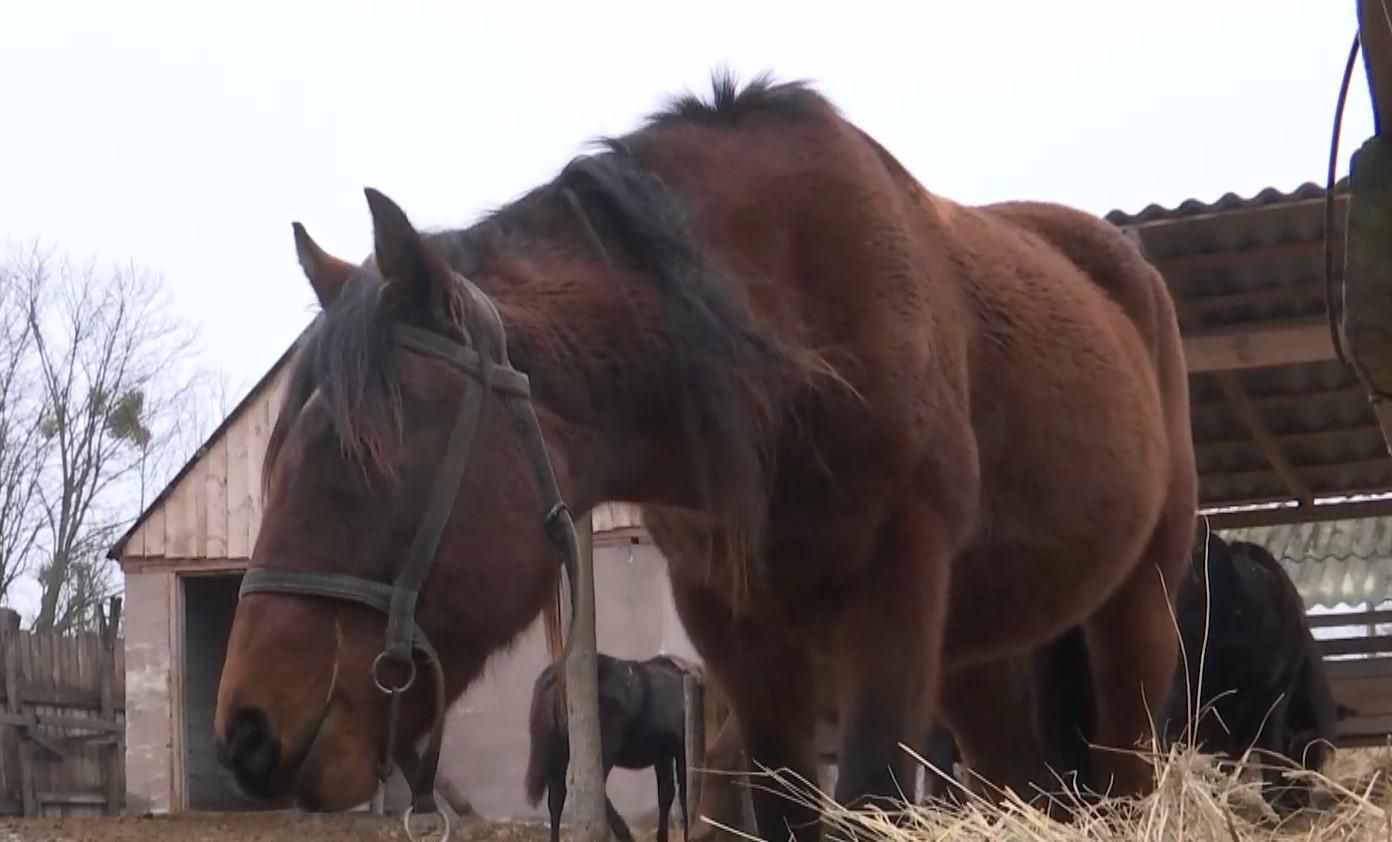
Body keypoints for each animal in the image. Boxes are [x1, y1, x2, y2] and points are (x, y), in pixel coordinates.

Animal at [523, 654, 693, 840]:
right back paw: (623, 833)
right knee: (592, 789)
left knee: (557, 798)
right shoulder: (680, 752)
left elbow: (667, 793)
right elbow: (684, 793)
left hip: (560, 754)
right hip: (602, 750)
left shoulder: (663, 754)